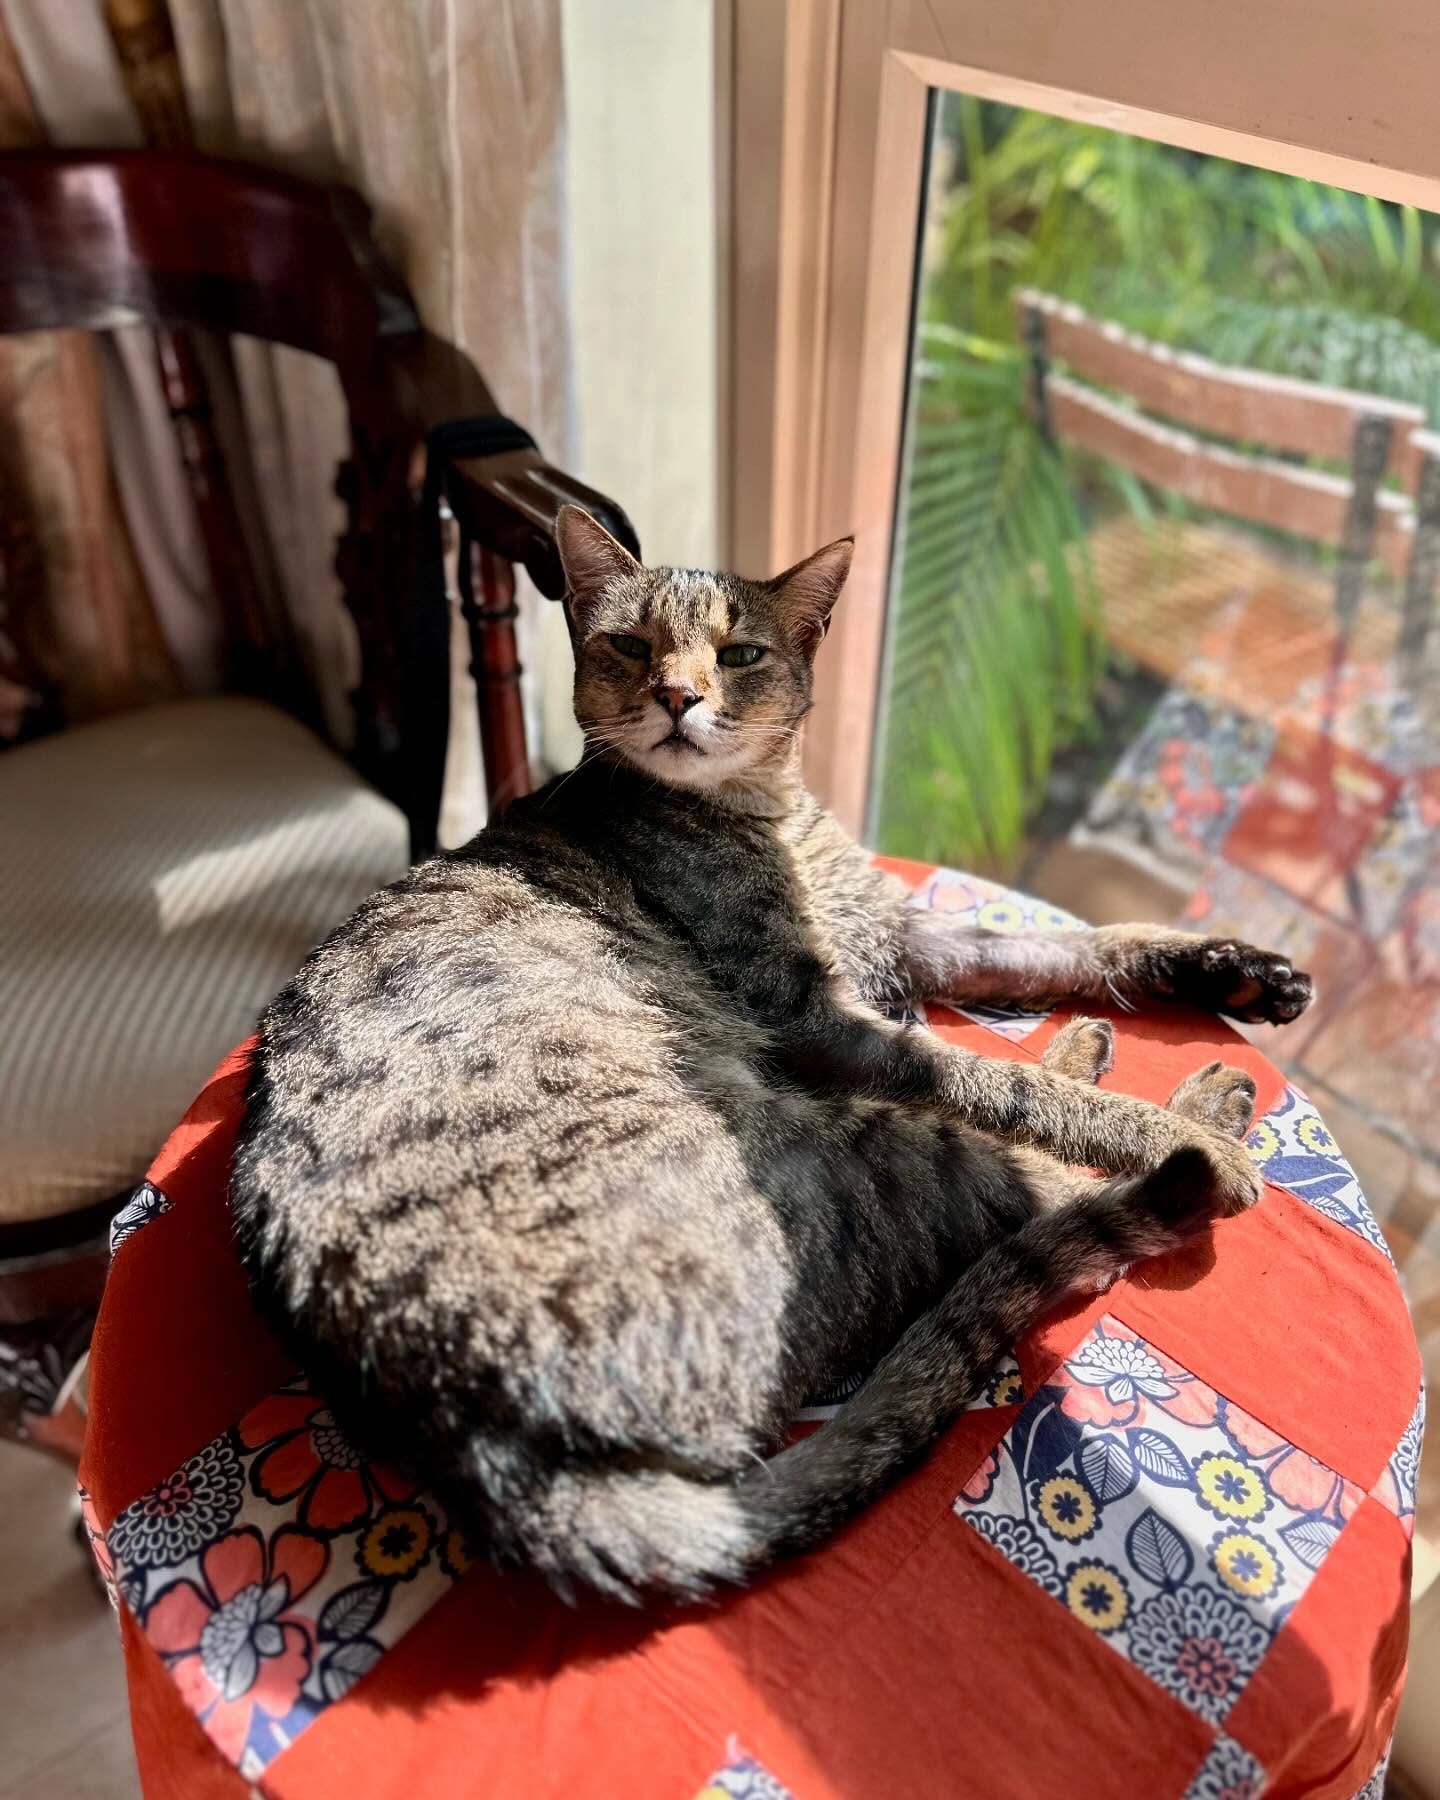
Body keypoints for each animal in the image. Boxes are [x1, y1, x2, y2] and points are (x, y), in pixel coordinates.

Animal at [230, 505, 1313, 1603]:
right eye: (632, 647)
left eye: (739, 654)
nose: (679, 695)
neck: (769, 808)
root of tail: (487, 1454)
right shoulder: (820, 1019)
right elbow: (998, 1081)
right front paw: (1153, 1117)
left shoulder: (902, 937)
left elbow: (1070, 944)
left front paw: (1229, 969)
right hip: (838, 1151)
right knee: (1035, 1189)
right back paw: (1199, 1121)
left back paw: (1109, 1043)